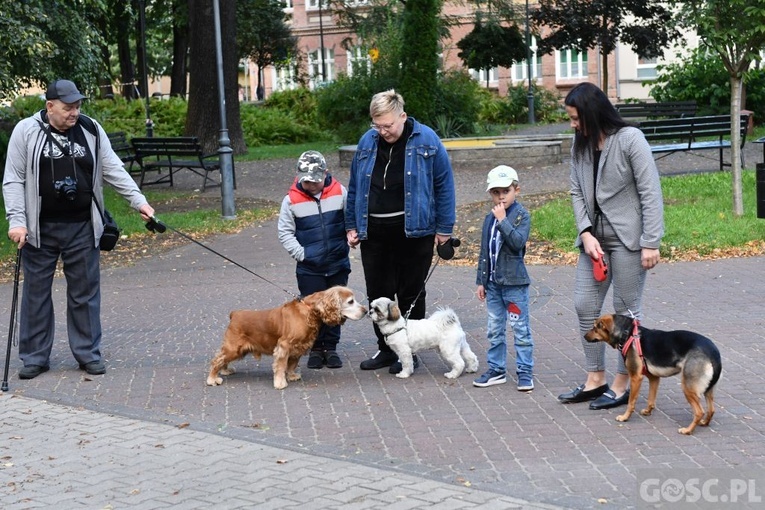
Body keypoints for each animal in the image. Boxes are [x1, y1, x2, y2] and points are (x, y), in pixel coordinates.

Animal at [584, 314, 724, 434]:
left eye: (595, 327)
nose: (584, 336)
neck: (627, 333)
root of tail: (713, 353)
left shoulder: (636, 377)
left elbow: (631, 402)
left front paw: (625, 417)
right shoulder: (654, 378)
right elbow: (651, 399)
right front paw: (647, 411)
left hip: (688, 387)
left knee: (699, 411)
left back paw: (687, 430)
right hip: (708, 389)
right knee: (711, 410)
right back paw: (704, 423)